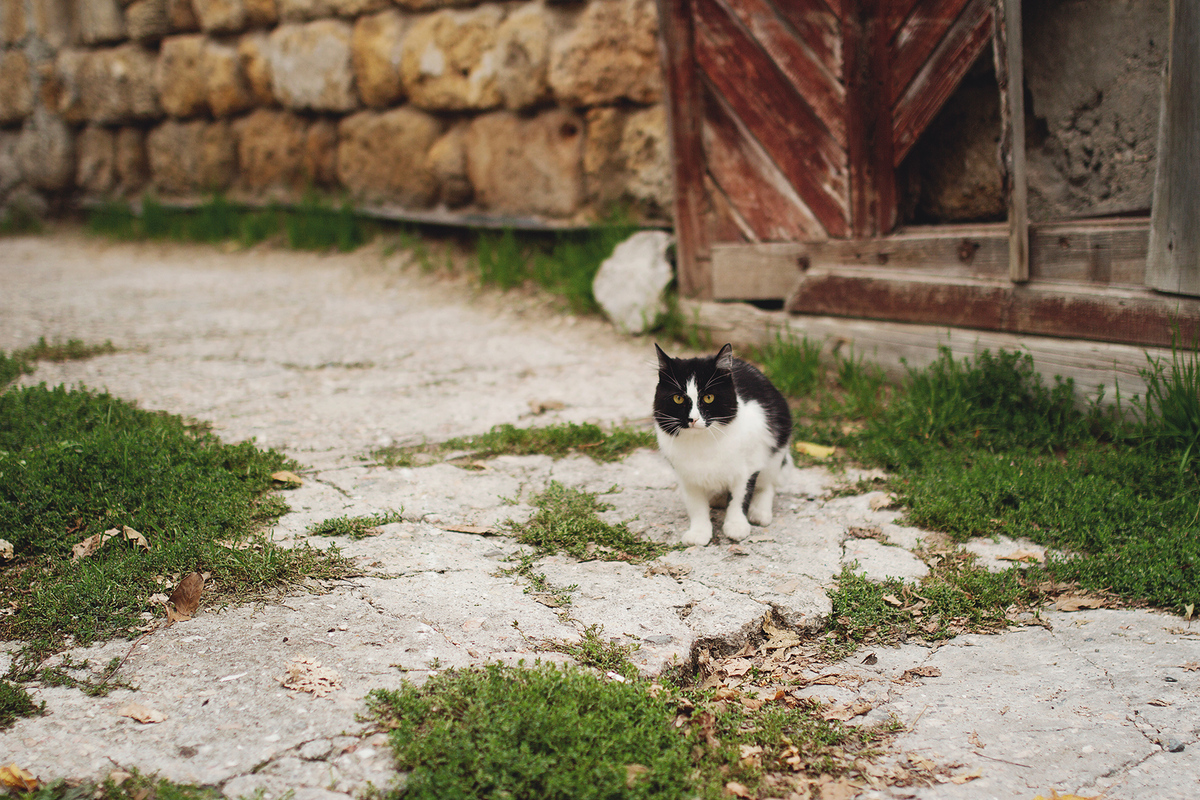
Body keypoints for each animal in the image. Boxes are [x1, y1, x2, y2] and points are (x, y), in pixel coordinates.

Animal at [652, 340, 792, 546]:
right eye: (678, 398)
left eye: (708, 397)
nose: (693, 419)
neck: (702, 442)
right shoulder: (686, 476)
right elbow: (696, 506)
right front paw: (699, 533)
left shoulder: (748, 468)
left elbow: (740, 498)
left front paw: (736, 526)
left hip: (775, 452)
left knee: (767, 485)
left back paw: (760, 512)